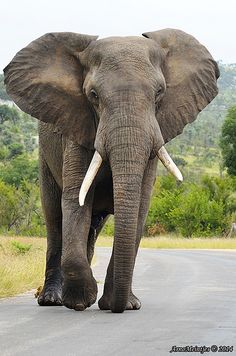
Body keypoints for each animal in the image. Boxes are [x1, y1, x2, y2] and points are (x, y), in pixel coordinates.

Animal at [3, 28, 218, 312]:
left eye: (160, 93)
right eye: (93, 95)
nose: (116, 307)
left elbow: (139, 207)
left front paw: (124, 305)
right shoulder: (76, 128)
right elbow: (75, 200)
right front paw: (80, 301)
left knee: (92, 228)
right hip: (44, 157)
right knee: (55, 221)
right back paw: (51, 300)